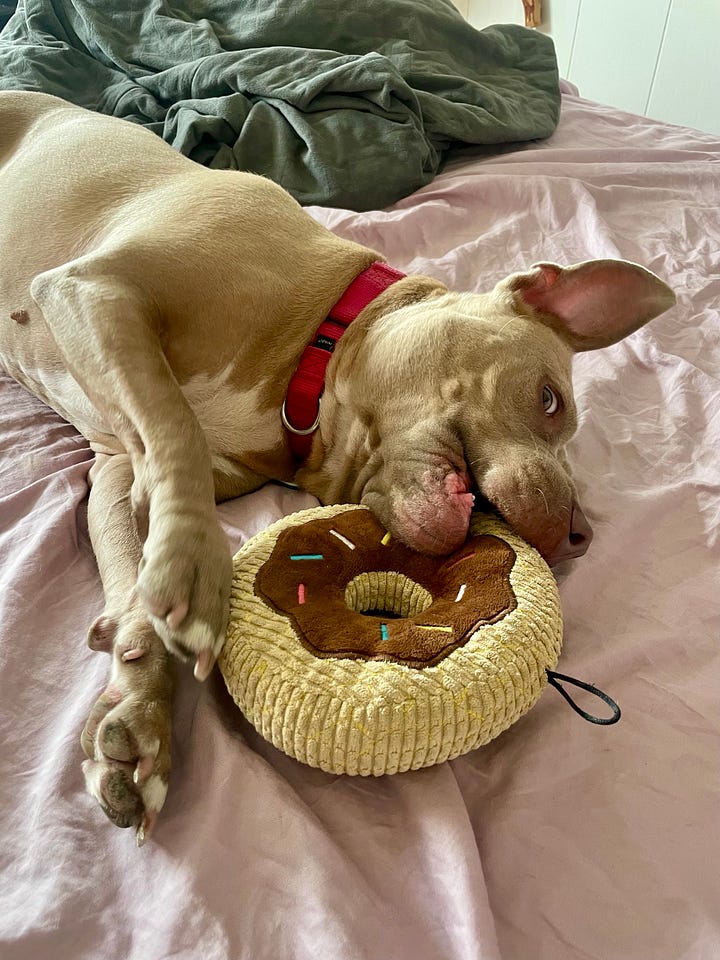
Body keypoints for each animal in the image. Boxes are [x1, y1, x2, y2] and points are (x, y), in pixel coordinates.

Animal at [0, 90, 676, 840]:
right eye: (552, 402)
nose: (582, 534)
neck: (313, 351)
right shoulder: (92, 291)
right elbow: (177, 431)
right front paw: (194, 568)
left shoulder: (120, 468)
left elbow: (137, 559)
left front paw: (138, 709)